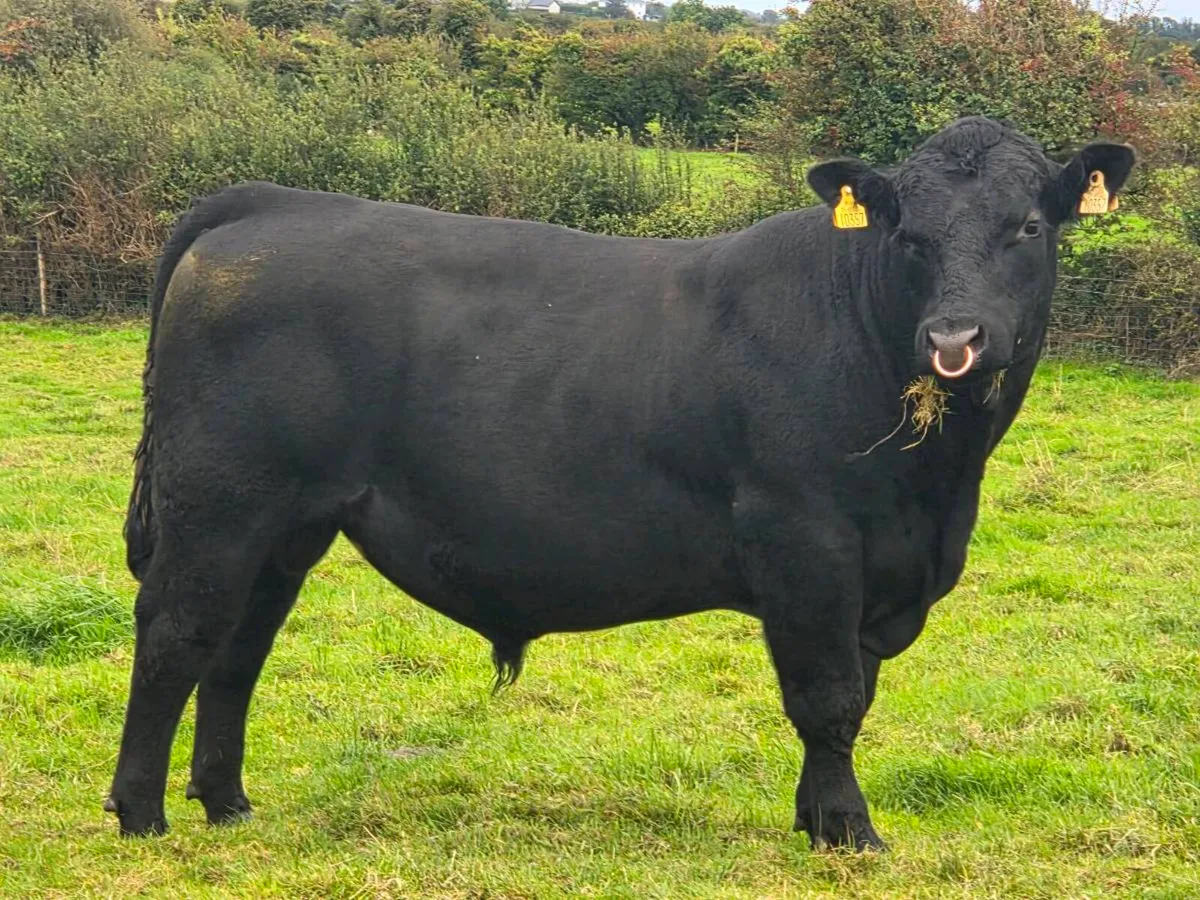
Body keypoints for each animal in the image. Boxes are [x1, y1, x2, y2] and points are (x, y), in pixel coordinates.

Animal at [104, 117, 1134, 850]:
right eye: (910, 236)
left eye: (1028, 226)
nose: (955, 339)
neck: (936, 488)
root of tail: (271, 204)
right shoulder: (805, 538)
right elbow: (828, 696)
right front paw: (849, 832)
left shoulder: (878, 564)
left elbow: (852, 696)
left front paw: (816, 820)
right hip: (220, 504)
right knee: (177, 634)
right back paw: (142, 813)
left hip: (287, 525)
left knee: (237, 649)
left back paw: (227, 802)